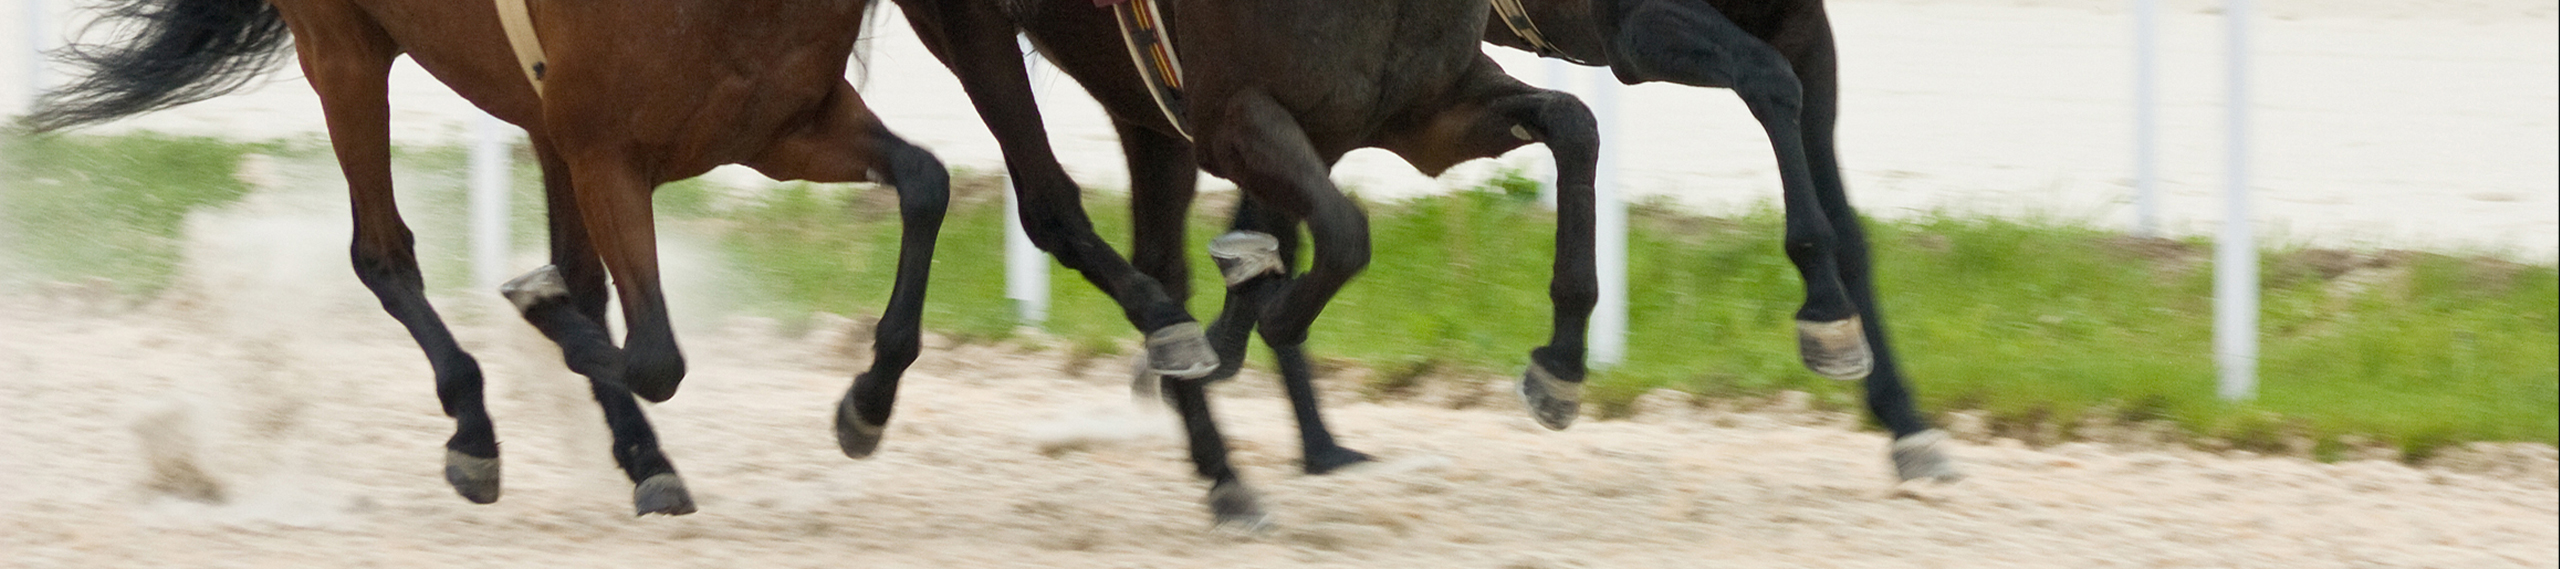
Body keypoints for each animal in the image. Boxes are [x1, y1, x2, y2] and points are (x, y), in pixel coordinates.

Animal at [25, 0, 953, 515]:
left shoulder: (782, 127)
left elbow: (925, 182)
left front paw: (867, 402)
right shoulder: (607, 151)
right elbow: (654, 355)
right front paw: (535, 306)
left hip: (537, 117)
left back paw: (644, 459)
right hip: (345, 50)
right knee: (382, 252)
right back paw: (475, 429)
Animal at [885, 0, 1601, 530]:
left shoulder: (1424, 113)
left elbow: (1574, 122)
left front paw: (1560, 367)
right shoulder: (1234, 113)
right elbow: (1341, 234)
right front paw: (1264, 317)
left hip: (1131, 92)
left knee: (1160, 259)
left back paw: (1215, 446)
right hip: (978, 31)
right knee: (1051, 208)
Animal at [1478, 0, 1959, 482]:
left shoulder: (1805, 31)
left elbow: (1845, 230)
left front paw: (1907, 423)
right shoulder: (1634, 30)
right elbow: (1769, 78)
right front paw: (1825, 303)